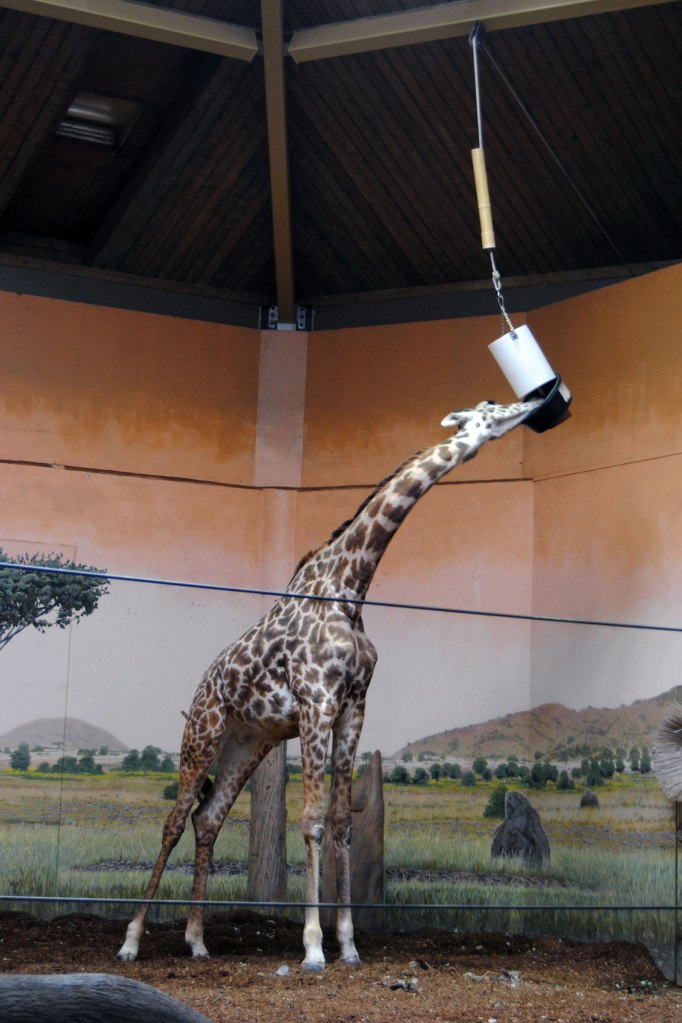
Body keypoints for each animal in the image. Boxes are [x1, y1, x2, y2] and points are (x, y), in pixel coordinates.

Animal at [117, 395, 541, 971]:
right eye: (488, 410)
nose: (534, 402)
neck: (349, 588)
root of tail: (203, 688)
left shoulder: (353, 706)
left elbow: (342, 822)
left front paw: (350, 944)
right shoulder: (316, 702)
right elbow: (313, 820)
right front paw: (314, 947)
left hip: (247, 744)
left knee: (209, 820)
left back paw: (198, 940)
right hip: (202, 736)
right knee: (175, 821)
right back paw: (132, 940)